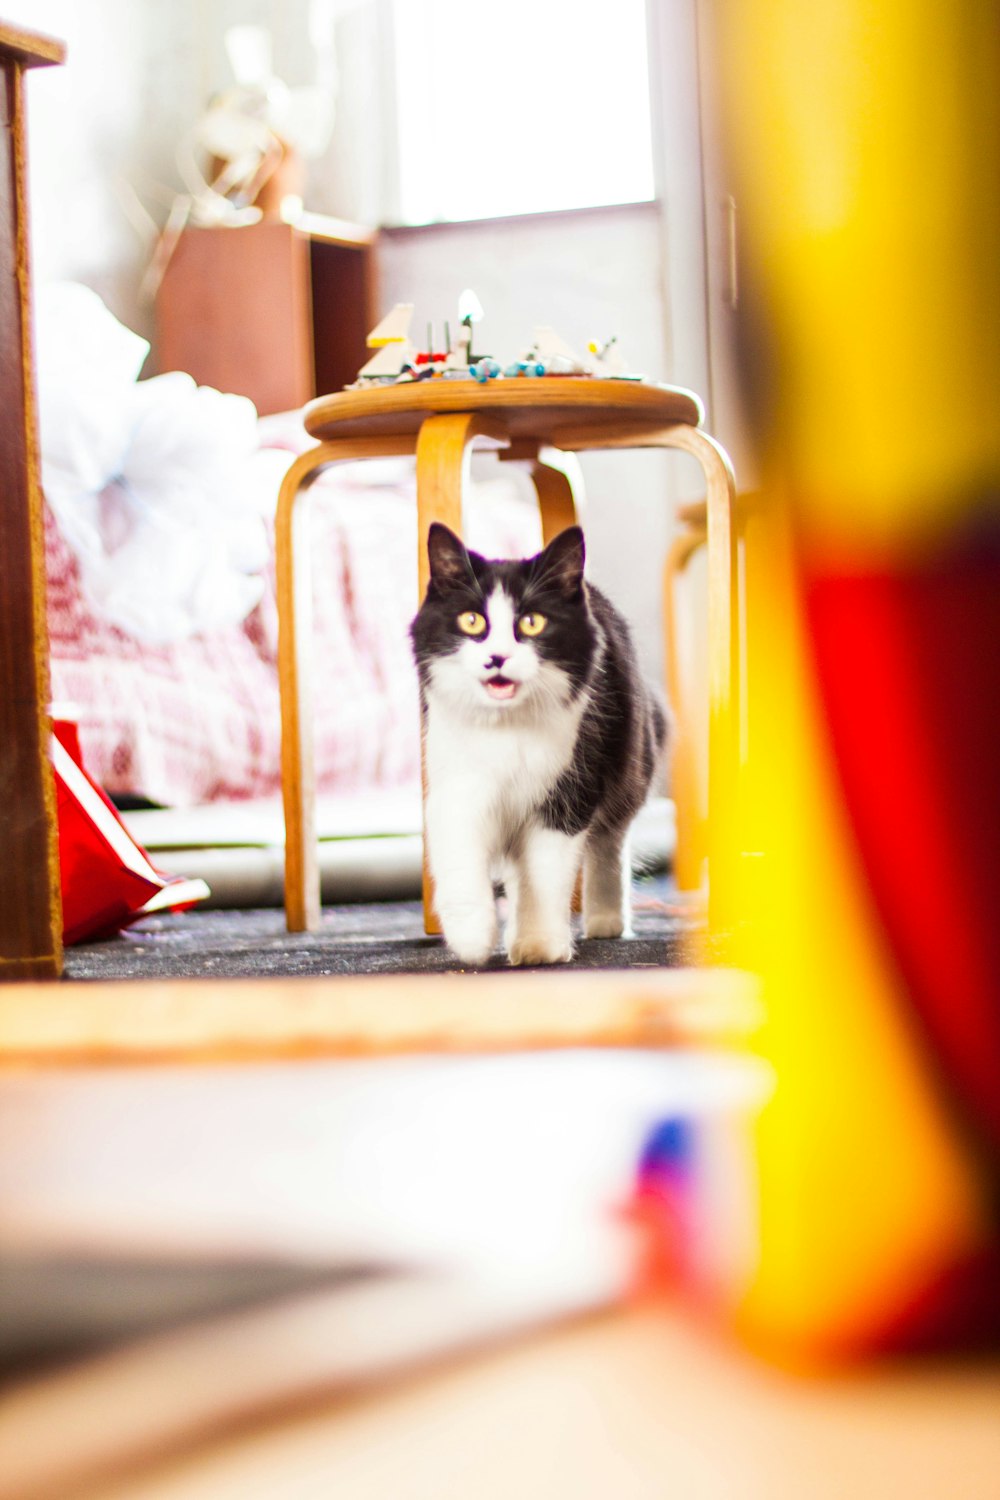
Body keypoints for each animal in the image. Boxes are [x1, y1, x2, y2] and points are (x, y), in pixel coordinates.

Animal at [410, 528, 668, 966]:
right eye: (471, 620)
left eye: (531, 623)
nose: (497, 658)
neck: (507, 726)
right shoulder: (459, 780)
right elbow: (461, 849)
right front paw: (472, 936)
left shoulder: (566, 792)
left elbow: (547, 874)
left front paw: (540, 946)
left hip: (628, 767)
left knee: (610, 843)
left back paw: (605, 921)